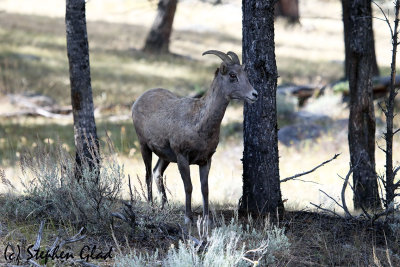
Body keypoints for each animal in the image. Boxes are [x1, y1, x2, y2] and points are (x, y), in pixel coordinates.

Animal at [131, 50, 256, 224]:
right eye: (232, 75)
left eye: (245, 74)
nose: (254, 94)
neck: (199, 124)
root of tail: (138, 100)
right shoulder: (182, 157)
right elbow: (188, 186)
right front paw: (188, 218)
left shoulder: (206, 160)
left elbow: (205, 189)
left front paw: (206, 219)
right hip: (144, 147)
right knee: (148, 175)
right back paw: (151, 207)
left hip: (165, 157)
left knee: (157, 173)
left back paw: (165, 207)